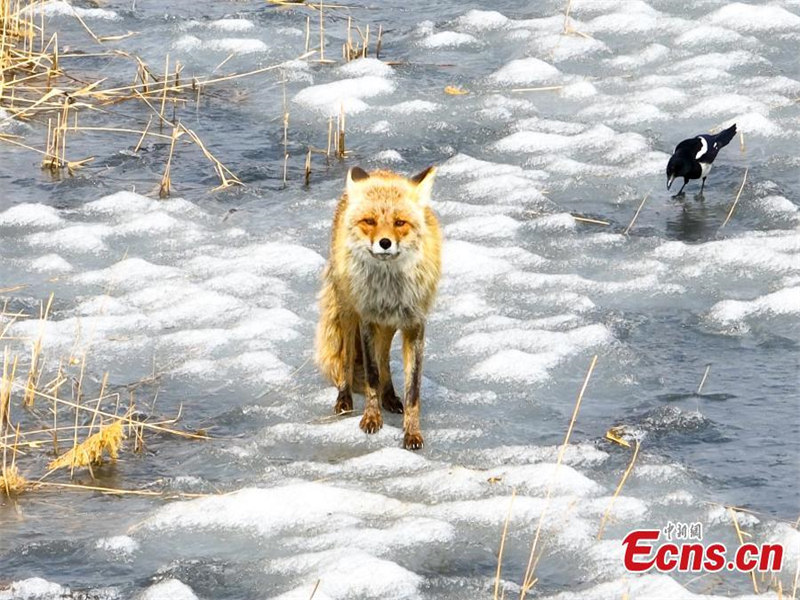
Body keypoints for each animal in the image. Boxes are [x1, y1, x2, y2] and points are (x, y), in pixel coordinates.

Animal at [315, 165, 442, 450]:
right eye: (370, 221)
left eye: (399, 223)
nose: (385, 243)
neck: (389, 286)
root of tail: (378, 170)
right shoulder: (368, 319)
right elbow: (371, 374)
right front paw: (372, 419)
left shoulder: (415, 324)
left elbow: (413, 389)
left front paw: (412, 432)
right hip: (348, 311)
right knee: (347, 360)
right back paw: (345, 399)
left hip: (390, 325)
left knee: (384, 359)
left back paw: (390, 397)